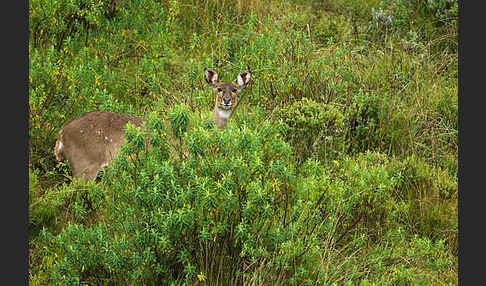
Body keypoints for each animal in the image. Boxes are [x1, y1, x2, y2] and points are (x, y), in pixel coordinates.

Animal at [53, 67, 251, 181]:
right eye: (218, 89)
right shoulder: (176, 160)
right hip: (85, 166)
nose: (226, 101)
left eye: (235, 89)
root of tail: (61, 134)